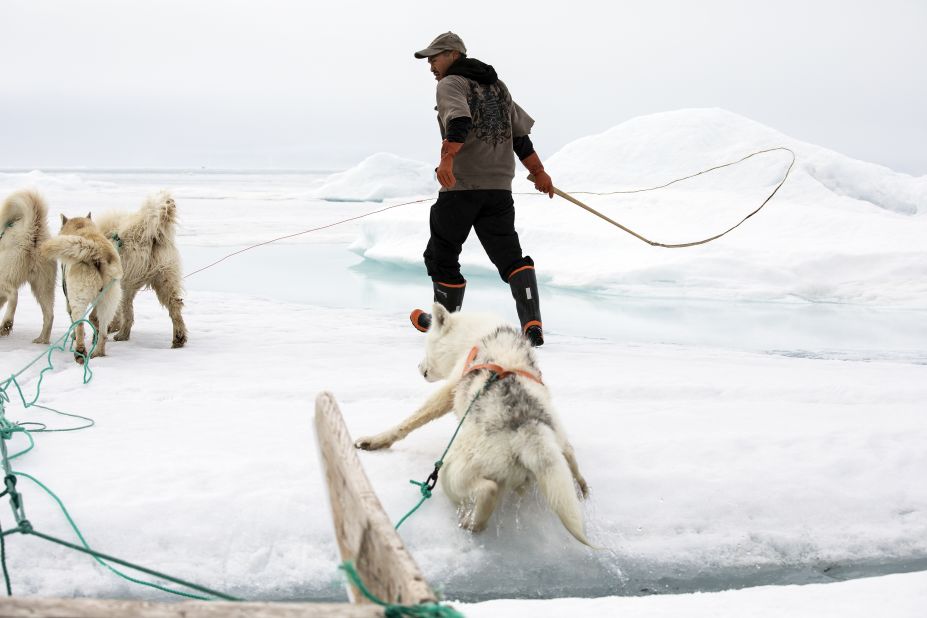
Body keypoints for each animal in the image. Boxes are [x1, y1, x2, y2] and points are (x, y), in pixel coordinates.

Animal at [0, 189, 56, 342]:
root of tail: (31, 231)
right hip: (43, 286)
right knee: (49, 315)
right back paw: (41, 341)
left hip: (5, 276)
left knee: (14, 295)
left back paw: (6, 324)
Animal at [40, 214, 122, 364]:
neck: (81, 227)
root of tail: (96, 250)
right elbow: (94, 319)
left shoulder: (69, 299)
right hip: (108, 302)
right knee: (103, 333)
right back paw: (98, 353)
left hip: (79, 299)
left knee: (79, 325)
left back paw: (79, 353)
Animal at [96, 191, 187, 346]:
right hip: (165, 276)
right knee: (175, 304)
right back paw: (179, 338)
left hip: (126, 280)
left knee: (128, 311)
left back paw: (122, 335)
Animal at [358, 304, 592, 544]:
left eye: (427, 345)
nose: (418, 367)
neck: (473, 337)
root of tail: (528, 429)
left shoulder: (449, 390)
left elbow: (412, 420)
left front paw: (376, 440)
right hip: (557, 446)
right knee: (570, 459)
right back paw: (580, 487)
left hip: (452, 471)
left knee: (487, 490)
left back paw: (471, 522)